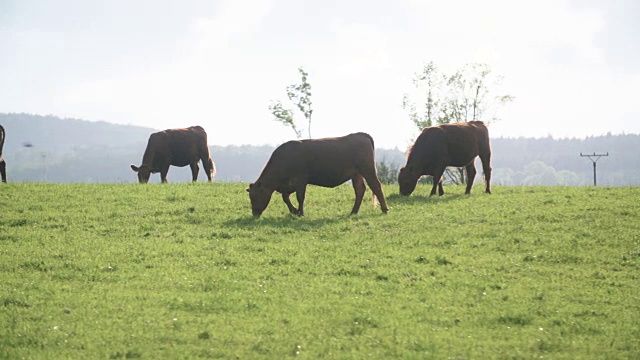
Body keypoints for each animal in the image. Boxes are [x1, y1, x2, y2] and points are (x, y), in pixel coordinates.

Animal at [246, 132, 388, 217]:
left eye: (255, 197)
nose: (254, 213)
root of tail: (360, 135)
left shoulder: (300, 180)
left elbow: (300, 197)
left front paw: (300, 213)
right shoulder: (289, 185)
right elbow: (285, 197)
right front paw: (294, 211)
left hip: (367, 169)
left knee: (376, 185)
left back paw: (385, 209)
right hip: (356, 174)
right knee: (360, 189)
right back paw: (353, 212)